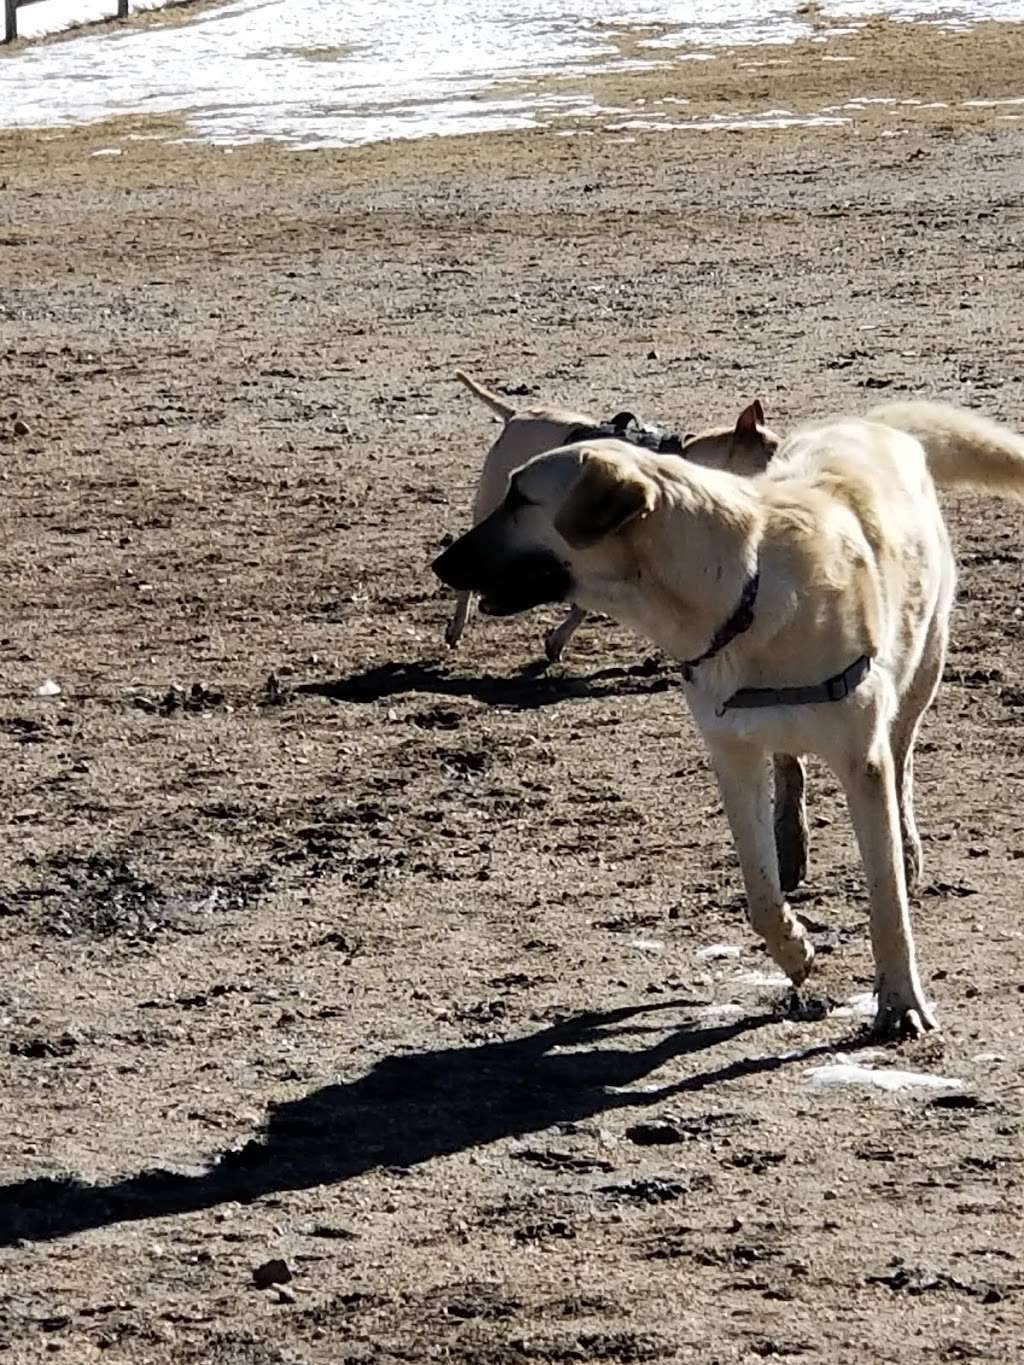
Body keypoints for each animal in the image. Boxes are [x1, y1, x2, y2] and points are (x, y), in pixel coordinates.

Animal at [431, 398, 1024, 1037]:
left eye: (521, 499)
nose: (439, 563)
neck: (742, 591)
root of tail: (870, 422)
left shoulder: (860, 760)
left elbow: (886, 900)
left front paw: (901, 1002)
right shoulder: (732, 754)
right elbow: (760, 894)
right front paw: (796, 951)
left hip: (923, 668)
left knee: (904, 755)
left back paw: (906, 841)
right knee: (790, 768)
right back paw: (791, 841)